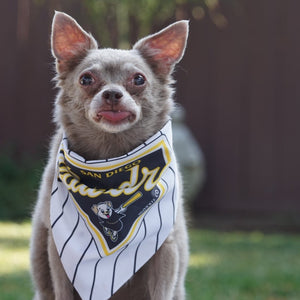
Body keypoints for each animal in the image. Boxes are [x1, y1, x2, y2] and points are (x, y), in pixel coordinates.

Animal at [30, 11, 190, 300]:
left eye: (138, 79)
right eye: (86, 79)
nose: (112, 93)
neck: (110, 155)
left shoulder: (165, 249)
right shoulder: (57, 251)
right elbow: (62, 290)